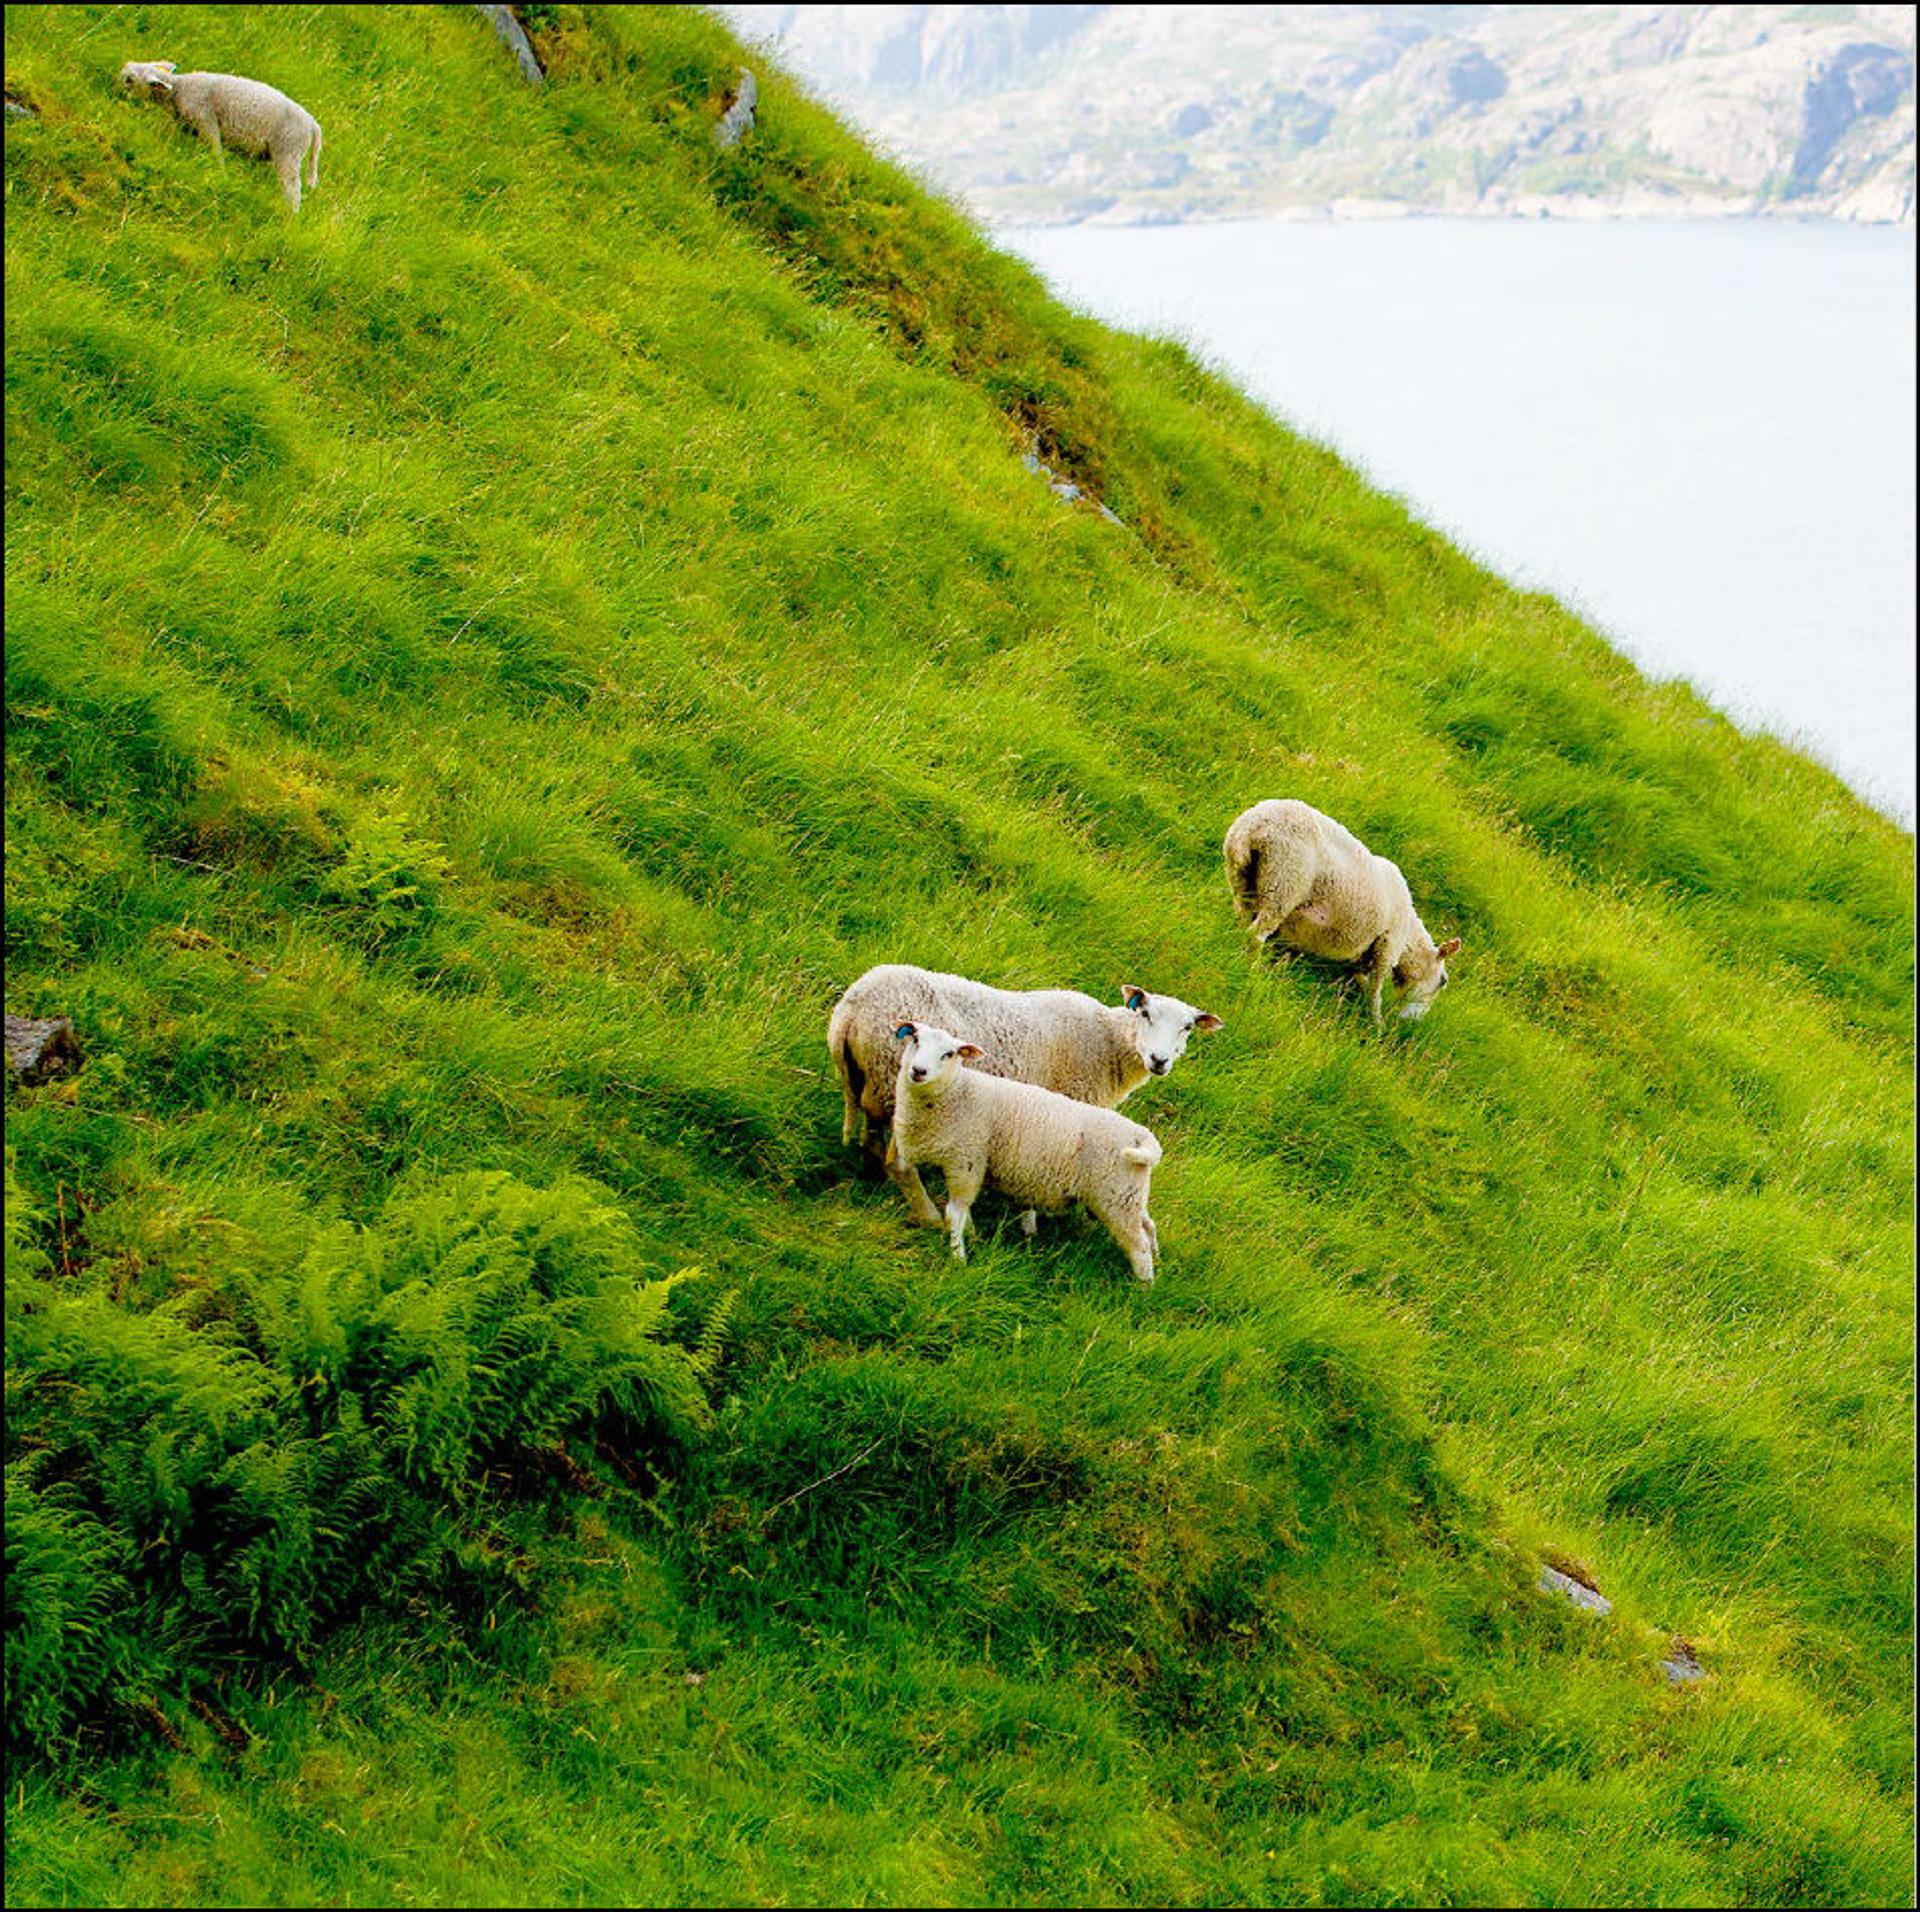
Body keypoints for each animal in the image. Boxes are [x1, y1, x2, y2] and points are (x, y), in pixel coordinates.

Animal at [118, 61, 322, 212]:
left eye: (130, 79)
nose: (117, 89)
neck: (179, 88)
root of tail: (312, 124)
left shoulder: (206, 120)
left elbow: (216, 151)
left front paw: (219, 175)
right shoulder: (189, 126)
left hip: (288, 151)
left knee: (293, 189)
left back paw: (289, 217)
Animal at [827, 964, 1219, 1225]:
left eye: (1187, 1027)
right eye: (1146, 1014)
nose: (1159, 1060)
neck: (1108, 1042)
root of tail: (851, 1009)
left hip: (872, 1085)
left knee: (871, 1138)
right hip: (902, 1085)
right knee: (900, 1163)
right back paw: (930, 1217)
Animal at [889, 1022, 1163, 1283]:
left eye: (949, 1054)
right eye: (915, 1039)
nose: (918, 1071)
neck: (957, 1091)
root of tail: (1143, 1137)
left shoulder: (966, 1161)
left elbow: (954, 1214)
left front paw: (958, 1258)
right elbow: (964, 1213)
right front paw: (972, 1237)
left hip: (1116, 1199)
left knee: (1138, 1246)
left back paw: (1145, 1285)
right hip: (1130, 1194)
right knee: (1148, 1226)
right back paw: (1159, 1260)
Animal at [1224, 798, 1461, 1027]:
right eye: (1443, 981)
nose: (1412, 1022)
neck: (1409, 935)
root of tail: (1252, 827)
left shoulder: (1361, 956)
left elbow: (1362, 981)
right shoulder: (1387, 947)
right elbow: (1376, 989)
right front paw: (1377, 1023)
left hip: (1243, 882)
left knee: (1243, 924)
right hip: (1285, 882)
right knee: (1255, 935)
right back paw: (1253, 971)